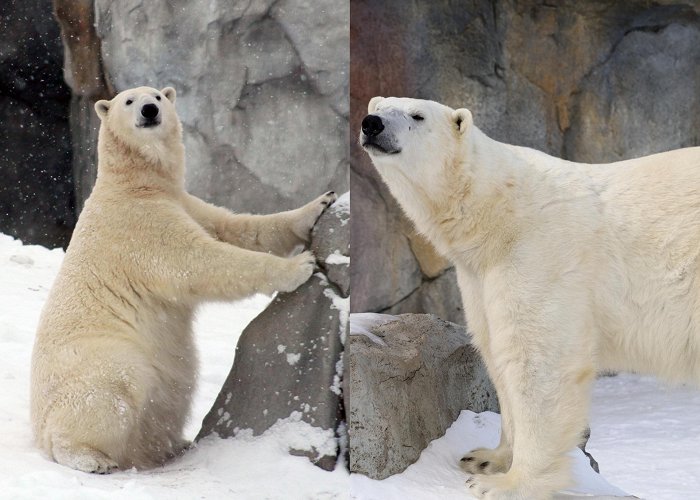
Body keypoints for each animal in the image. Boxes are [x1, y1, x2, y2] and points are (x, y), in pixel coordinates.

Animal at [31, 85, 338, 472]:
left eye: (157, 96)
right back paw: (91, 457)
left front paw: (320, 203)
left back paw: (169, 445)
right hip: (96, 357)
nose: (149, 110)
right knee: (115, 389)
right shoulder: (140, 226)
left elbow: (238, 228)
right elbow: (199, 262)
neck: (133, 185)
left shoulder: (186, 203)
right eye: (128, 100)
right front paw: (301, 265)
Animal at [364, 95, 700, 498]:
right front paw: (484, 458)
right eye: (378, 107)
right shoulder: (480, 274)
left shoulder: (541, 252)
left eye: (417, 115)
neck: (498, 208)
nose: (372, 125)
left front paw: (503, 484)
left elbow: (536, 362)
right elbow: (494, 348)